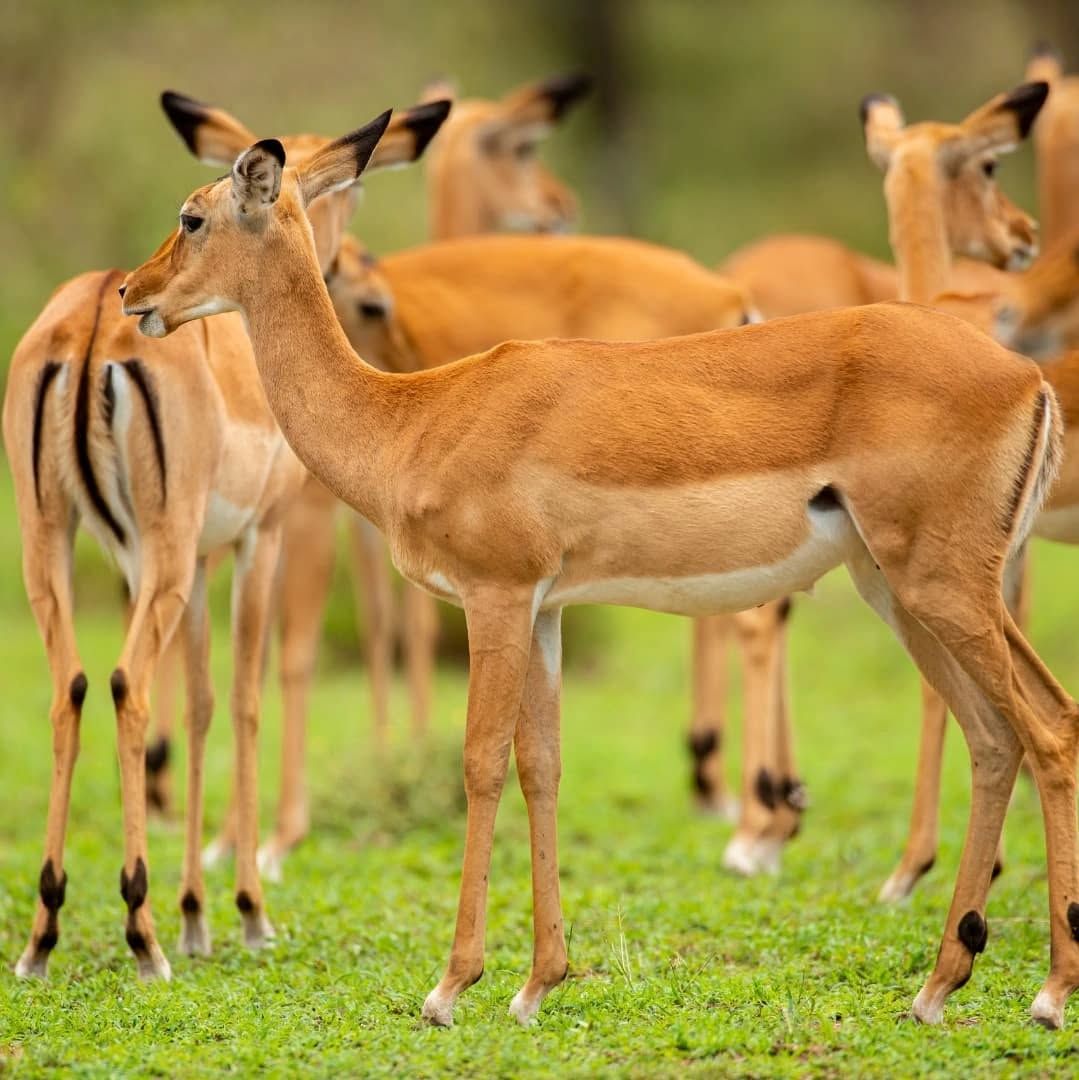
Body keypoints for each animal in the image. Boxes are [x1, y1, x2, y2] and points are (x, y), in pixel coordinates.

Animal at [1, 98, 448, 980]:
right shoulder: (256, 539)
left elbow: (202, 702)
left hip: (54, 542)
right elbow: (244, 696)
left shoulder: (190, 561)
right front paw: (243, 909)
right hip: (164, 551)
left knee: (71, 684)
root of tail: (90, 322)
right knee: (126, 684)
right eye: (192, 214)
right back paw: (139, 932)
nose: (137, 291)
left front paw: (196, 913)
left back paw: (45, 931)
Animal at [123, 106, 1078, 1030]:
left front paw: (449, 986)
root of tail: (1027, 381)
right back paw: (936, 986)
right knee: (994, 739)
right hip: (901, 592)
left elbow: (479, 763)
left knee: (1048, 729)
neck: (410, 419)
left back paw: (1044, 994)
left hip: (944, 589)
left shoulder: (494, 597)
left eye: (192, 216)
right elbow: (542, 767)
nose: (134, 293)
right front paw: (538, 984)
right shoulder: (544, 609)